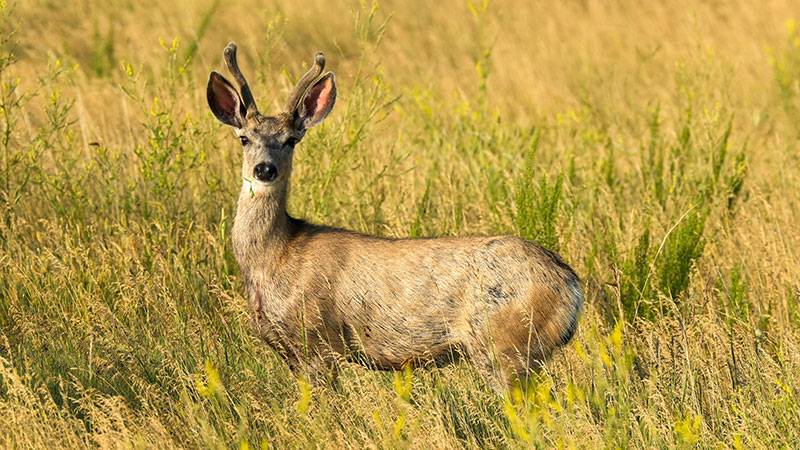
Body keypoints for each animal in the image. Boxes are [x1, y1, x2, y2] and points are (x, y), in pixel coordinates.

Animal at [206, 42, 580, 394]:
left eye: (291, 140)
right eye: (244, 138)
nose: (264, 169)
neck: (274, 256)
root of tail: (571, 286)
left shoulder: (317, 340)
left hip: (503, 345)